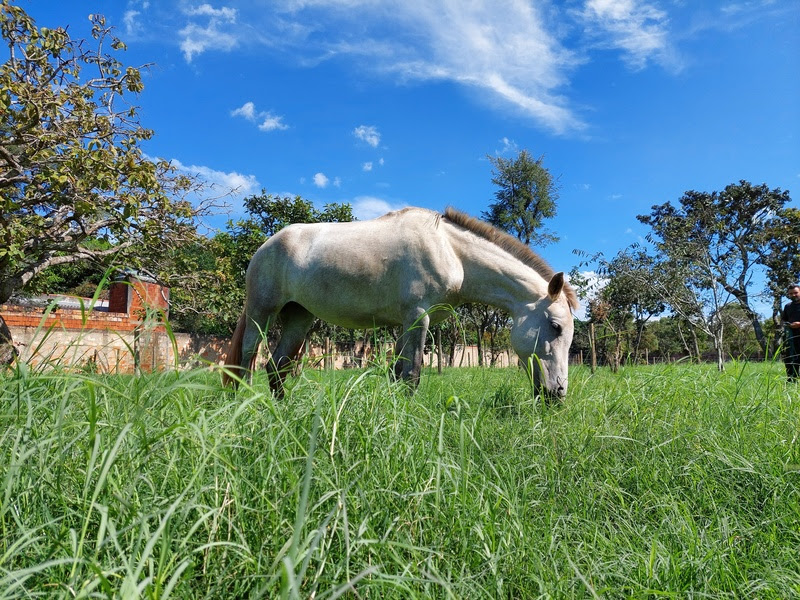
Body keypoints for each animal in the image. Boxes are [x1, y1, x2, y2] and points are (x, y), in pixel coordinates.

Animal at [222, 206, 580, 398]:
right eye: (555, 327)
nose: (559, 394)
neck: (450, 251)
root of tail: (268, 244)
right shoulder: (418, 317)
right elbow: (413, 373)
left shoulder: (407, 323)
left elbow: (397, 371)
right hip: (262, 312)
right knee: (247, 359)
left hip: (300, 317)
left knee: (276, 366)